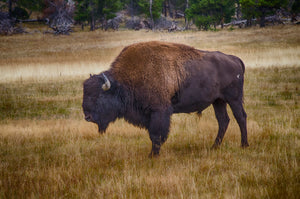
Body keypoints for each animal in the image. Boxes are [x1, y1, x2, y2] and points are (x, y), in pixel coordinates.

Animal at [82, 41, 248, 157]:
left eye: (98, 96)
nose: (87, 117)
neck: (124, 82)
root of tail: (234, 59)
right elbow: (154, 135)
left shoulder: (159, 112)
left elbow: (156, 135)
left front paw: (152, 155)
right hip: (218, 101)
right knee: (223, 120)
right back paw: (214, 146)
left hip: (234, 99)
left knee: (240, 117)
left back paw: (244, 145)